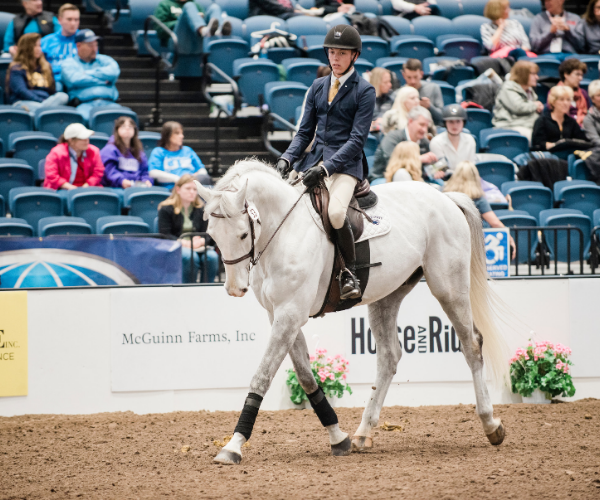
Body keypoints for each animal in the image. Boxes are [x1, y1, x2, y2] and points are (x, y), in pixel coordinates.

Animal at [196, 160, 506, 464]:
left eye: (242, 234)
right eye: (212, 235)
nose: (234, 288)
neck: (285, 231)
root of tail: (446, 197)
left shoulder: (290, 313)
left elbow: (262, 376)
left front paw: (233, 446)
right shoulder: (281, 315)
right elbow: (306, 376)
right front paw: (338, 437)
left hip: (449, 289)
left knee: (471, 345)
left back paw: (491, 424)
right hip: (387, 296)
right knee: (389, 357)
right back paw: (362, 433)